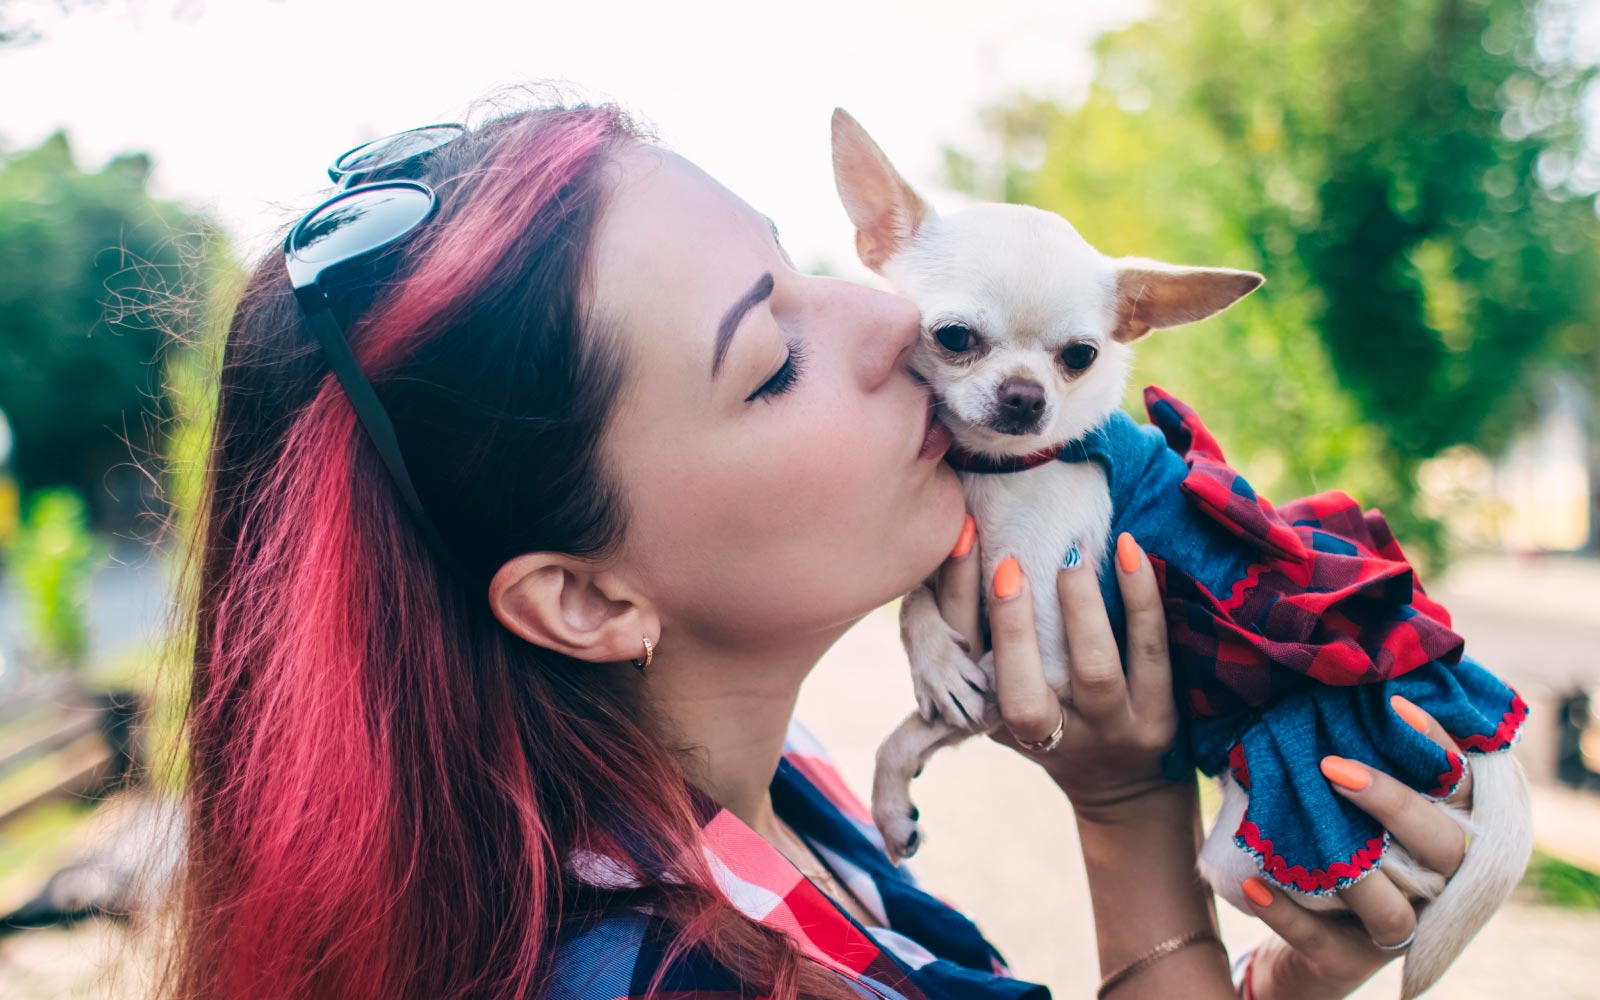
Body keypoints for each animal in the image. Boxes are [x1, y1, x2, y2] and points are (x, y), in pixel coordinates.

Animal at [832, 103, 1529, 998]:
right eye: (954, 337)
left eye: (1080, 356)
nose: (1025, 397)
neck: (1002, 475)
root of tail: (1493, 747)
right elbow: (916, 605)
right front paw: (928, 676)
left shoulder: (1044, 670)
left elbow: (910, 727)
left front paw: (903, 761)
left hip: (1258, 842)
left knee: (1419, 877)